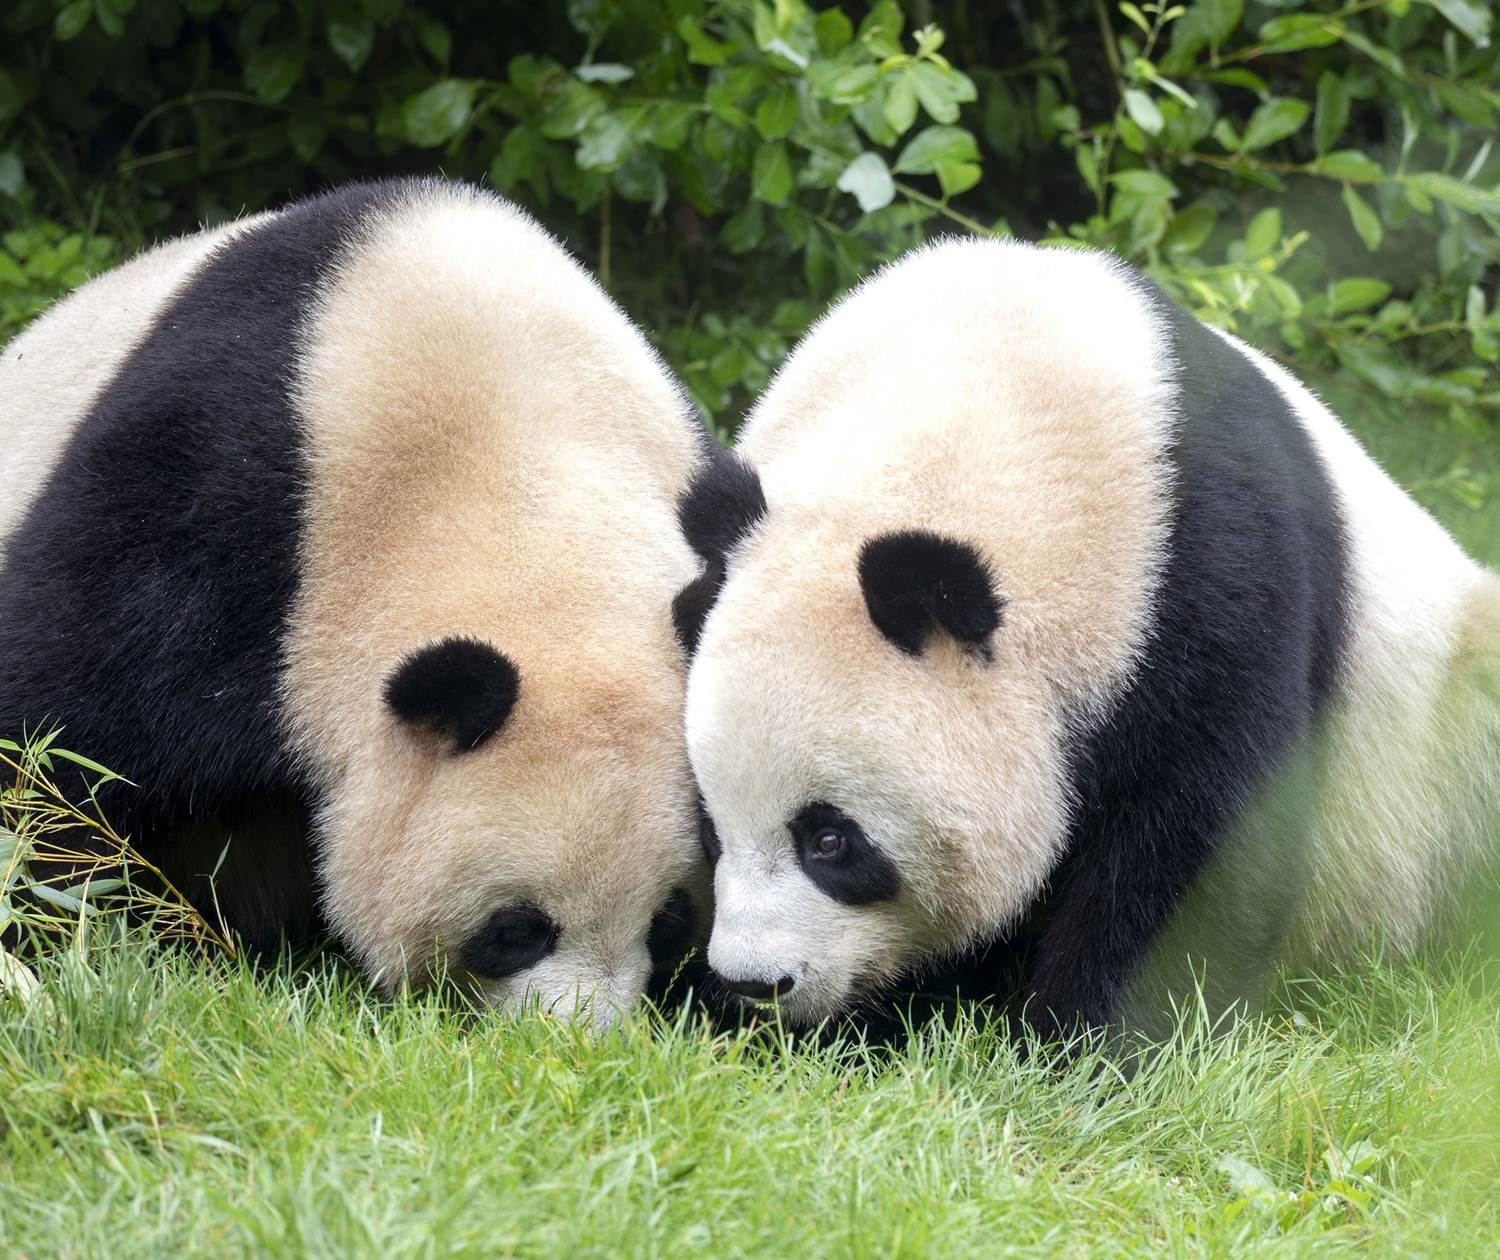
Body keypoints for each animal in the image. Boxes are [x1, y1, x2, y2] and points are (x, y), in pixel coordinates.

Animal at [676, 237, 1500, 1041]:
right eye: (711, 829)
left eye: (831, 841)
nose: (755, 984)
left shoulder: (1211, 580)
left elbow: (1201, 840)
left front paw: (1085, 1044)